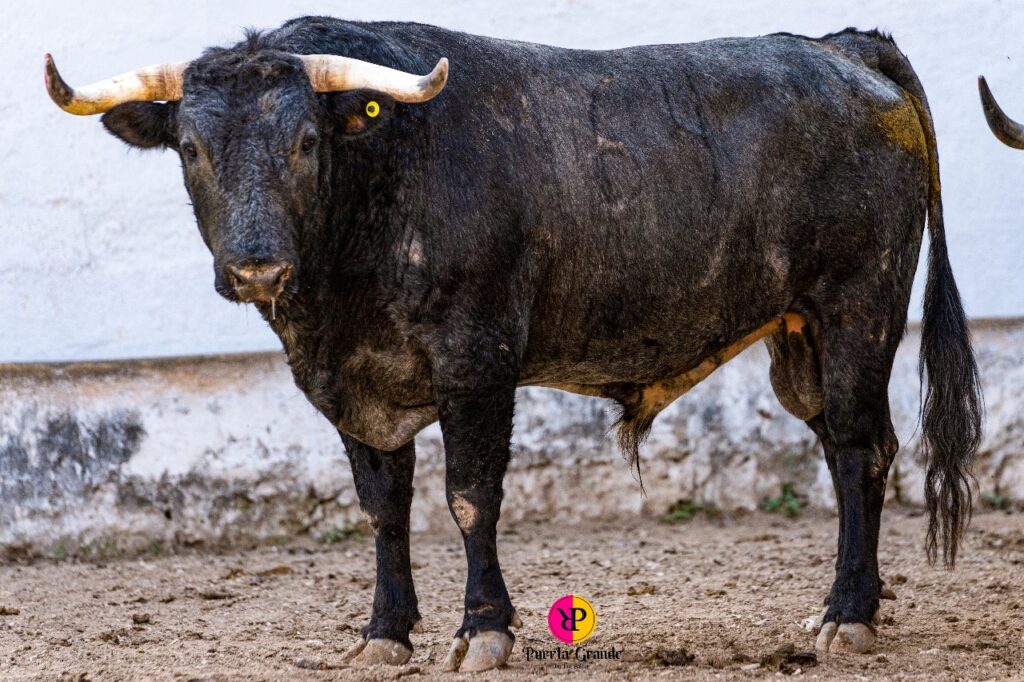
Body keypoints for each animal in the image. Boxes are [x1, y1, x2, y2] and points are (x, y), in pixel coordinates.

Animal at [48, 17, 983, 667]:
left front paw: (483, 631)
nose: (255, 267)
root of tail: (843, 48)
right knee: (846, 448)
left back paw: (846, 618)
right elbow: (383, 507)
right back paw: (852, 605)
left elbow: (470, 496)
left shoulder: (476, 362)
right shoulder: (351, 385)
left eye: (307, 141)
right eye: (190, 147)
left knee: (861, 450)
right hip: (800, 341)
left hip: (858, 309)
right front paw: (384, 634)